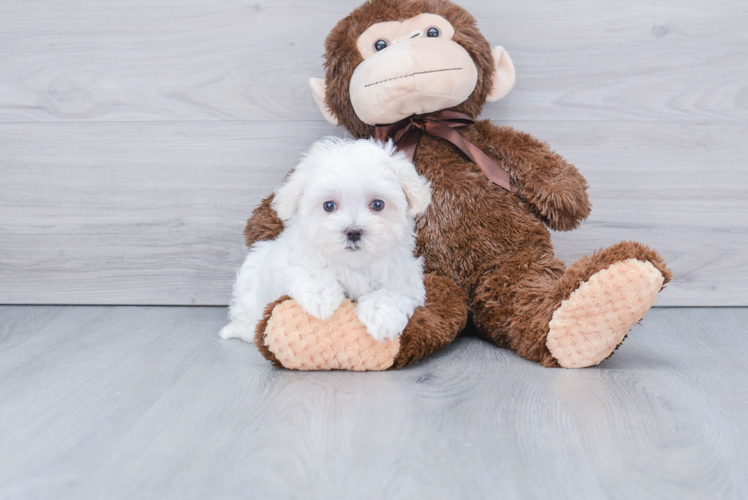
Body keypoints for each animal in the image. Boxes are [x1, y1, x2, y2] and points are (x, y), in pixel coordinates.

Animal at [219, 137, 430, 344]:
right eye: (329, 206)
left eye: (378, 204)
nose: (353, 232)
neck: (353, 262)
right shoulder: (294, 259)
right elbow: (311, 271)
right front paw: (320, 298)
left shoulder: (403, 277)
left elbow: (391, 293)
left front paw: (380, 318)